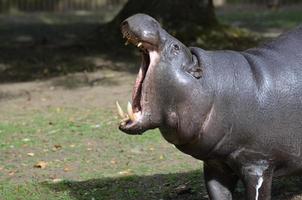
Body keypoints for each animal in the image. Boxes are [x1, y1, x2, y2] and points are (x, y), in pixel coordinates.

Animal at [115, 13, 302, 199]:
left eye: (176, 47)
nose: (148, 17)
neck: (211, 86)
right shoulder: (215, 163)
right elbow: (218, 193)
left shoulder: (258, 165)